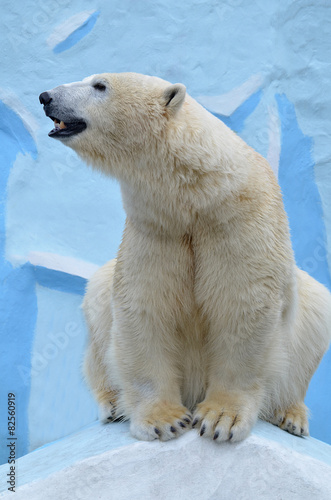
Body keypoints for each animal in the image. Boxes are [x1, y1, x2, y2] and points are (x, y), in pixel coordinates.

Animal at [39, 73, 331, 442]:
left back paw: (291, 416)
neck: (197, 195)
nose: (45, 96)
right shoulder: (157, 227)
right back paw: (114, 404)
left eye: (100, 85)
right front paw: (165, 419)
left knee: (316, 310)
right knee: (99, 299)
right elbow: (144, 307)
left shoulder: (238, 220)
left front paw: (221, 418)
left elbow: (243, 304)